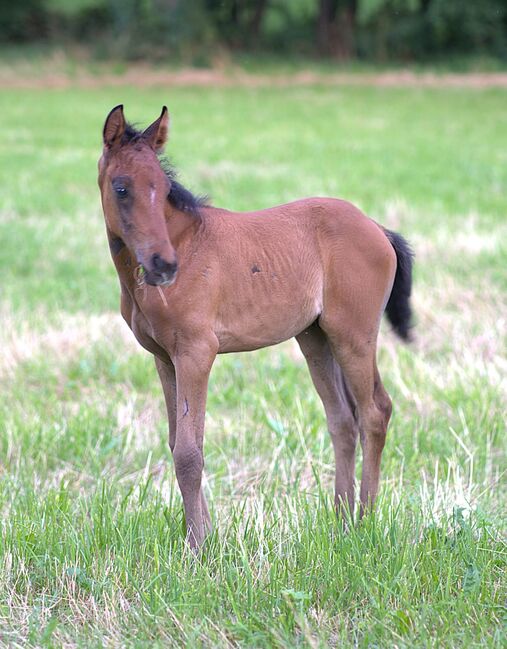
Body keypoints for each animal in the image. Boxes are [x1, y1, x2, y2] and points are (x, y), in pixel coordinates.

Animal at [98, 105, 412, 548]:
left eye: (162, 184)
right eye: (122, 188)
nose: (164, 265)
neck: (186, 245)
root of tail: (376, 228)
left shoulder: (196, 352)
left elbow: (189, 452)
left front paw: (198, 548)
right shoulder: (164, 357)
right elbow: (177, 441)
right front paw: (205, 534)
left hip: (354, 335)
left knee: (374, 412)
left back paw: (363, 523)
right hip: (315, 338)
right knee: (342, 420)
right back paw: (340, 522)